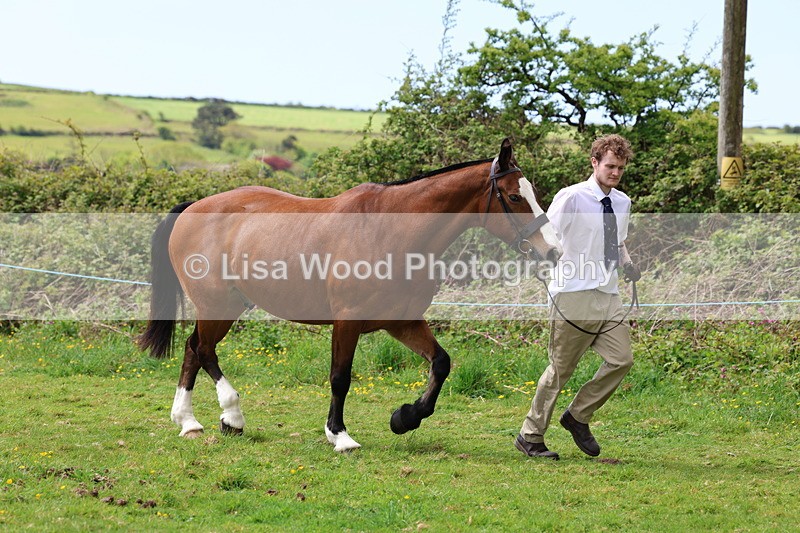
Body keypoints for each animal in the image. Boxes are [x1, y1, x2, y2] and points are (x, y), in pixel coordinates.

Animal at [138, 138, 562, 452]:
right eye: (514, 197)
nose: (553, 251)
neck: (388, 234)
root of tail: (193, 207)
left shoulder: (401, 322)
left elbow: (441, 363)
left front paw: (404, 417)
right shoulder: (348, 321)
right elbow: (340, 377)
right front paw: (339, 435)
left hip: (223, 306)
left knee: (193, 350)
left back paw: (189, 422)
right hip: (217, 305)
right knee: (203, 350)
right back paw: (231, 415)